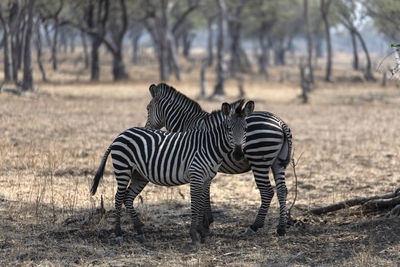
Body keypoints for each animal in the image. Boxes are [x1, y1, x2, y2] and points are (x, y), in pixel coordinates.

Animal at [91, 99, 253, 246]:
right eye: (229, 129)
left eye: (246, 129)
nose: (238, 154)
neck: (209, 146)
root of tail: (121, 134)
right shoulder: (196, 175)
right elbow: (195, 205)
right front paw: (194, 235)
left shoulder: (207, 178)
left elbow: (201, 203)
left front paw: (202, 233)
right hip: (122, 168)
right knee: (118, 198)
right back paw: (118, 234)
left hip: (139, 175)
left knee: (128, 197)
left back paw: (139, 231)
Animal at [145, 83, 292, 237]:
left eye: (148, 108)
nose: (146, 129)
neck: (186, 124)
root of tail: (280, 123)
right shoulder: (204, 164)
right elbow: (206, 192)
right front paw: (207, 221)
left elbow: (204, 194)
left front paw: (205, 223)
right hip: (277, 162)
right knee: (282, 190)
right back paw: (281, 227)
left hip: (259, 160)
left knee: (267, 191)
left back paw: (254, 226)